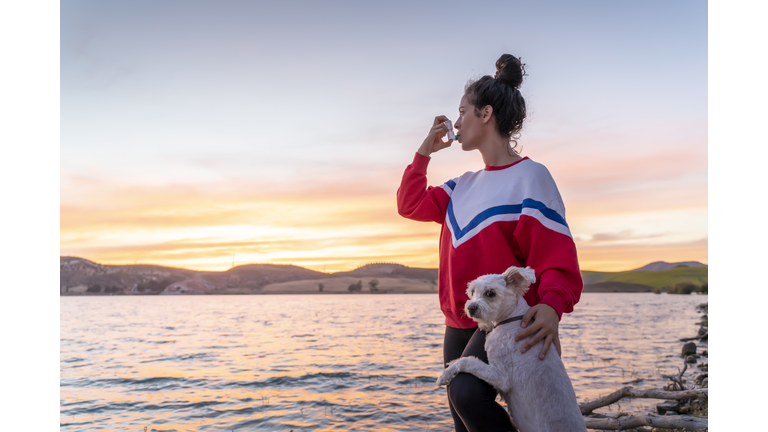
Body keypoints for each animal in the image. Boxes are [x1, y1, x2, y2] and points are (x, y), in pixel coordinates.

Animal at [436, 266, 584, 432]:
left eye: (490, 293)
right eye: (472, 292)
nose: (470, 308)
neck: (513, 318)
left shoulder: (502, 377)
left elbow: (468, 361)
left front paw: (446, 373)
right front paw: (485, 325)